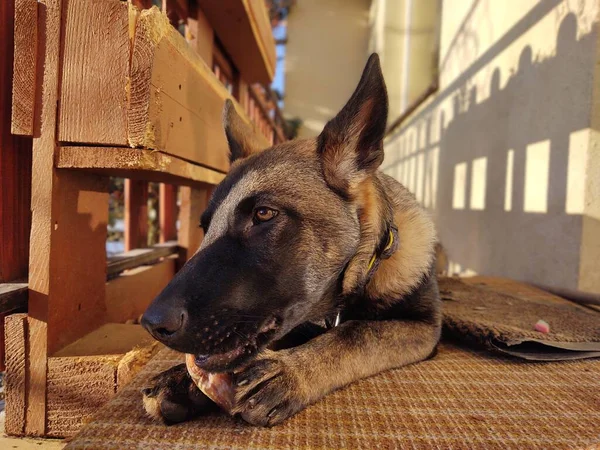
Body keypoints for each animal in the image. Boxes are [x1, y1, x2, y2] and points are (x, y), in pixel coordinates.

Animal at [139, 54, 440, 428]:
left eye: (264, 214)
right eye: (204, 226)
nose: (152, 325)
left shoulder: (423, 328)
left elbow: (357, 333)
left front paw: (292, 372)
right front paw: (180, 378)